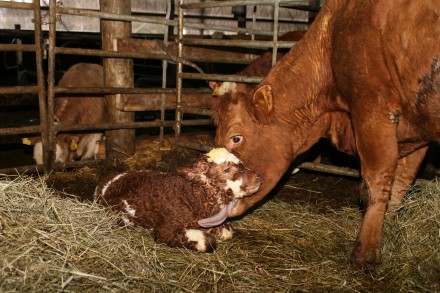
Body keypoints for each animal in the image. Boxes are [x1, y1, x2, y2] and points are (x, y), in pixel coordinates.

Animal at [94, 148, 260, 251]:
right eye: (226, 169)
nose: (258, 177)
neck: (191, 194)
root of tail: (105, 182)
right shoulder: (165, 230)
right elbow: (208, 242)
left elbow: (228, 231)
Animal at [211, 0, 440, 270]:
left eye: (236, 138)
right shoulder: (416, 130)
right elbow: (400, 183)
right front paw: (390, 229)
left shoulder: (373, 108)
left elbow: (377, 181)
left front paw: (365, 253)